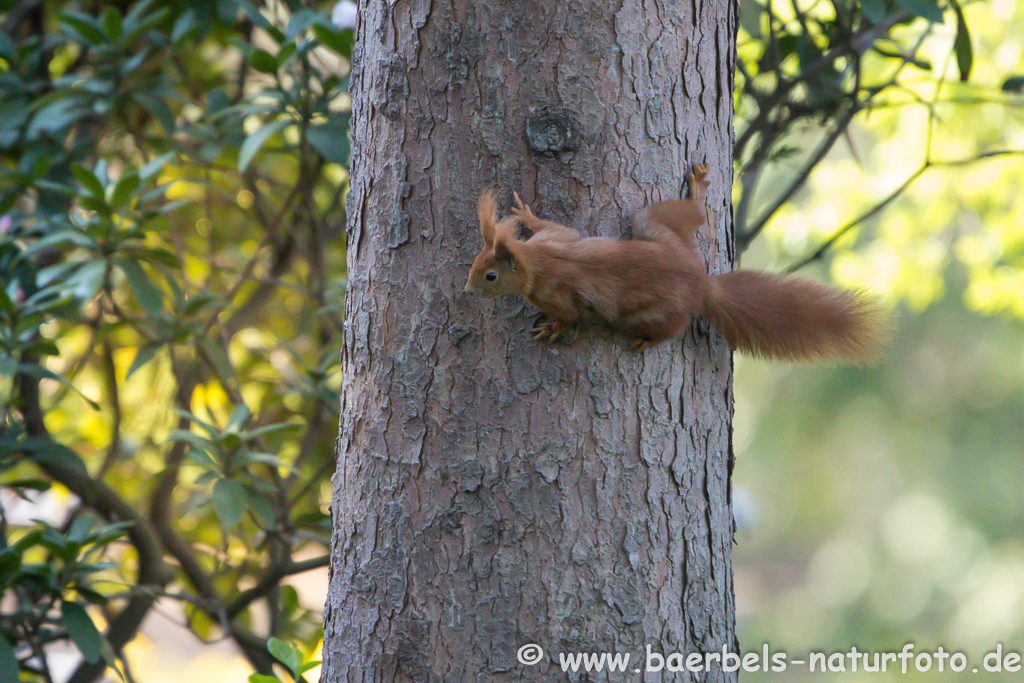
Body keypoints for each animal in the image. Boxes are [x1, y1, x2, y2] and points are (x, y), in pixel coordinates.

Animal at [464, 163, 888, 362]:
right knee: (691, 215)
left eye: (490, 276)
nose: (466, 289)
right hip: (653, 226)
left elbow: (571, 317)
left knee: (672, 327)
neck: (537, 260)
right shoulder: (556, 238)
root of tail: (703, 284)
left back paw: (648, 341)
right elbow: (556, 227)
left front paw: (551, 329)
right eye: (476, 261)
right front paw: (526, 215)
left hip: (649, 311)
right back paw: (698, 190)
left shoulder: (557, 292)